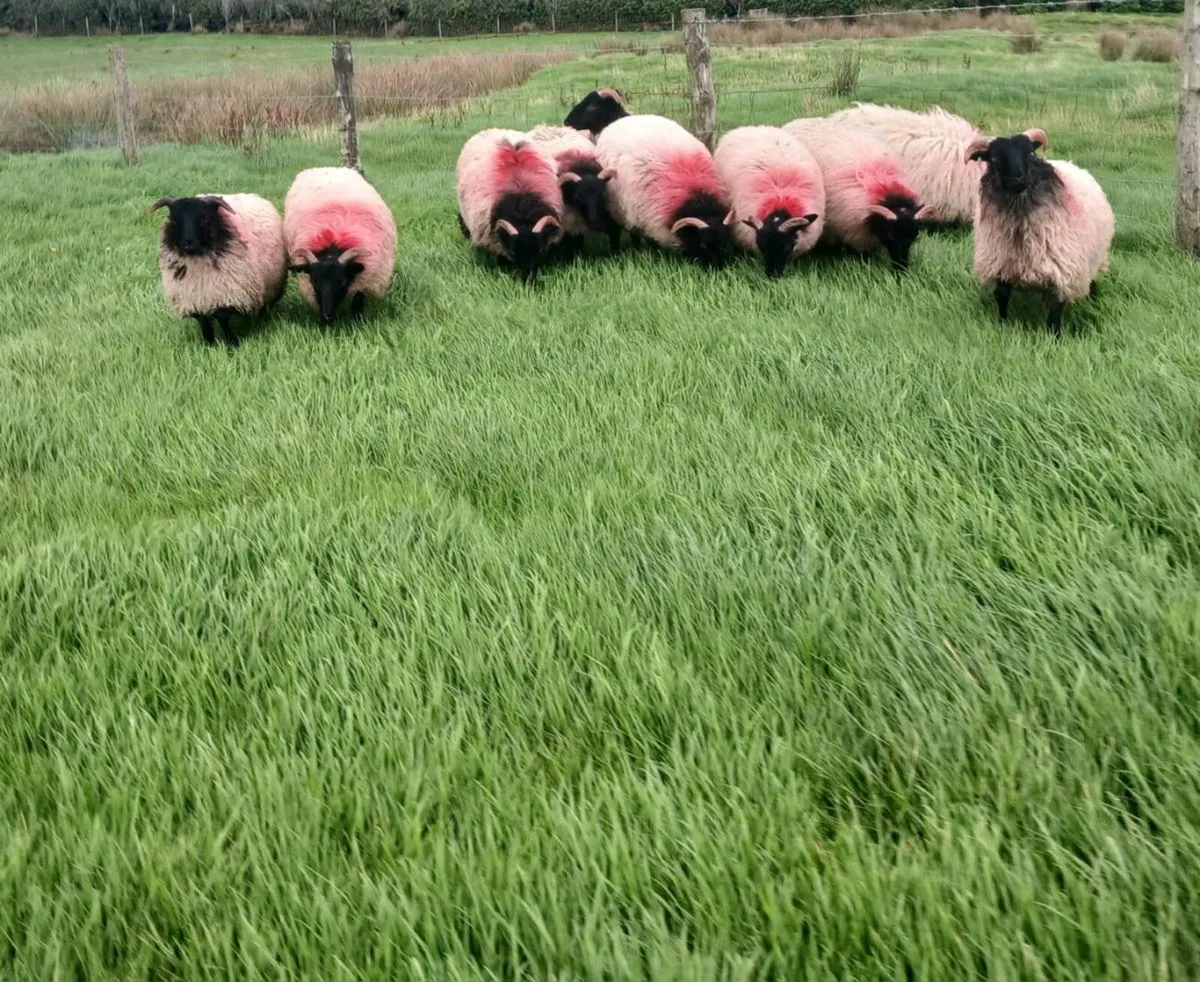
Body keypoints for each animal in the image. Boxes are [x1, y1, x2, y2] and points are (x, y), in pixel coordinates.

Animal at [150, 193, 286, 347]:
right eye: (174, 219)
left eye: (204, 217)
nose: (188, 244)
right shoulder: (195, 299)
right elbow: (204, 324)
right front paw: (208, 345)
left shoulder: (226, 292)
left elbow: (223, 319)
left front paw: (232, 344)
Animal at [283, 167, 397, 326]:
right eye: (314, 282)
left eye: (342, 282)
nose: (327, 315)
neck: (334, 243)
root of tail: (327, 168)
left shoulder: (365, 282)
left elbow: (357, 302)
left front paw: (357, 322)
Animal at [596, 114, 733, 268]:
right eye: (703, 245)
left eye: (724, 244)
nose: (717, 268)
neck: (696, 194)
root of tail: (622, 120)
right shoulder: (647, 221)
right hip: (619, 209)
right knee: (622, 232)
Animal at [966, 129, 1114, 335]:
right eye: (994, 158)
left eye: (1030, 153)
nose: (1019, 178)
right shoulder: (1002, 262)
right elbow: (1002, 295)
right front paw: (1002, 323)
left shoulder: (1062, 268)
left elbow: (1056, 307)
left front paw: (1054, 335)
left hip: (1092, 256)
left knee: (1091, 281)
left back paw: (1092, 300)